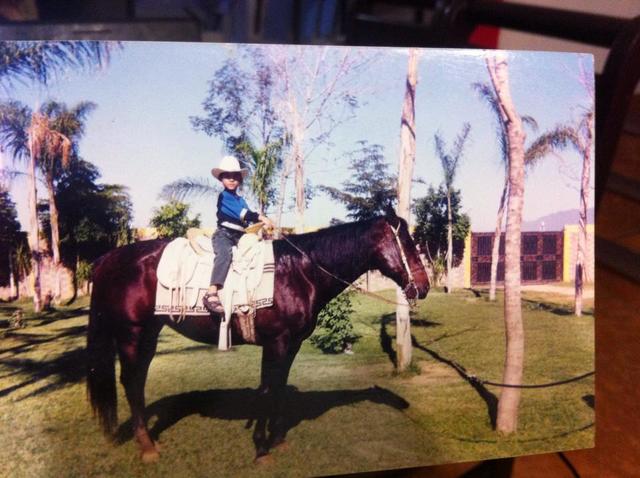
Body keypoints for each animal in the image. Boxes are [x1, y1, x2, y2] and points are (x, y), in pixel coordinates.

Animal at [86, 211, 430, 463]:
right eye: (408, 244)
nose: (424, 287)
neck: (299, 272)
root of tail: (108, 258)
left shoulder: (291, 345)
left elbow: (277, 388)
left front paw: (276, 441)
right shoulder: (276, 343)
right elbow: (266, 389)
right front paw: (261, 448)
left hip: (149, 333)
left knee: (138, 381)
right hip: (131, 333)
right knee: (131, 382)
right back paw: (147, 448)